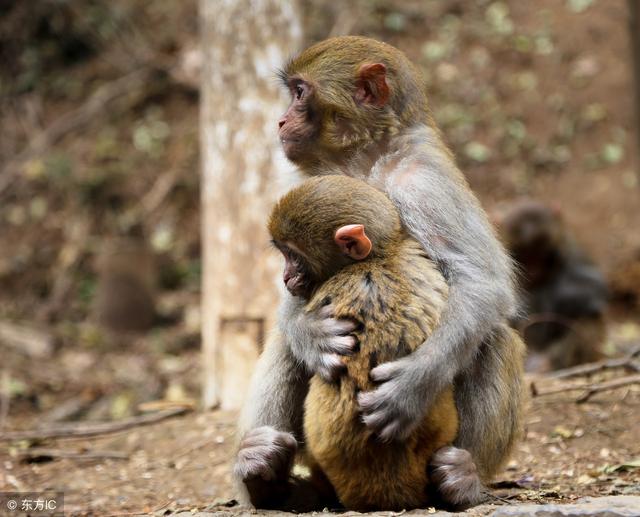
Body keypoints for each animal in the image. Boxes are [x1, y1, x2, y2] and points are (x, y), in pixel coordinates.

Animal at [498, 199, 608, 370]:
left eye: (540, 253)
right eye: (526, 255)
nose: (534, 269)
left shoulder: (572, 252)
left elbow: (592, 285)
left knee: (590, 314)